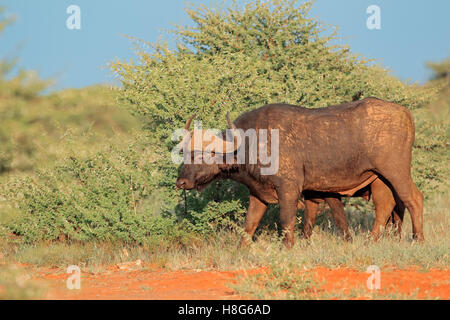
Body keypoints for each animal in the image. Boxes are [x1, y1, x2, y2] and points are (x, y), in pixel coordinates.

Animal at [176, 97, 422, 248]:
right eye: (185, 153)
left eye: (202, 155)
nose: (181, 183)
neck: (252, 142)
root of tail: (404, 112)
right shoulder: (258, 194)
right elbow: (249, 224)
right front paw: (240, 251)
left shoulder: (289, 189)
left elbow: (287, 220)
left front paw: (287, 247)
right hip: (380, 180)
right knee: (385, 206)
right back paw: (371, 241)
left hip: (396, 172)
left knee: (413, 199)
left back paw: (418, 239)